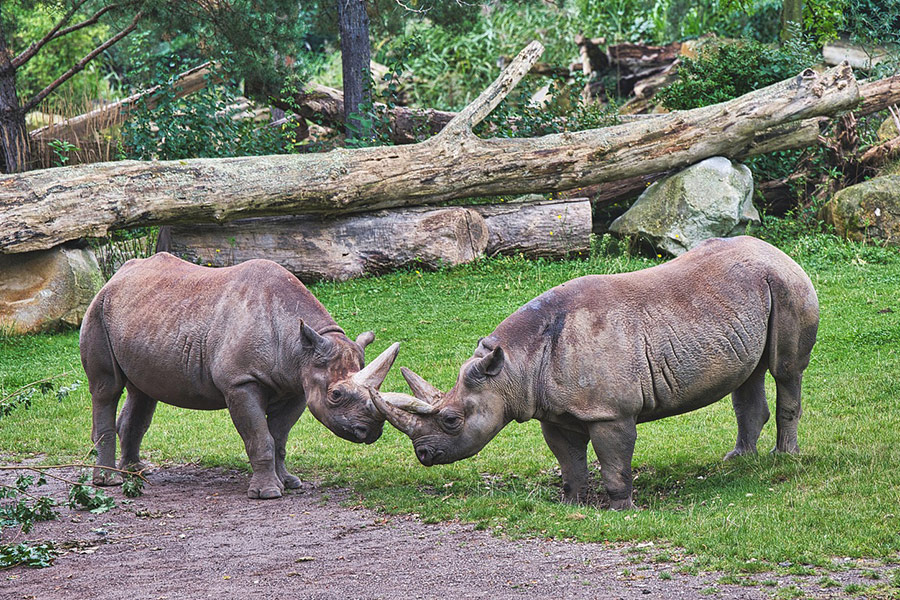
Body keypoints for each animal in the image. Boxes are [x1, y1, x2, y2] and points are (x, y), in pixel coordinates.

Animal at [80, 253, 399, 499]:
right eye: (336, 395)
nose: (370, 432)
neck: (300, 347)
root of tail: (116, 277)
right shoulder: (241, 382)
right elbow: (260, 437)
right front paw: (268, 494)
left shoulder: (298, 383)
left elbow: (279, 437)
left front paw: (290, 483)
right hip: (97, 310)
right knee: (106, 389)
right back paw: (110, 481)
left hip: (143, 316)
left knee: (143, 393)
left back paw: (137, 471)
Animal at [373, 236, 819, 509]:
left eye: (451, 420)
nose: (424, 455)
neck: (514, 366)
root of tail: (777, 250)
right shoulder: (552, 410)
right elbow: (568, 458)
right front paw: (570, 502)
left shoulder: (609, 411)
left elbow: (614, 459)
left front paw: (623, 507)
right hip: (743, 295)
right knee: (748, 375)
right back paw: (738, 459)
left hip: (787, 283)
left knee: (785, 369)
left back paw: (783, 458)